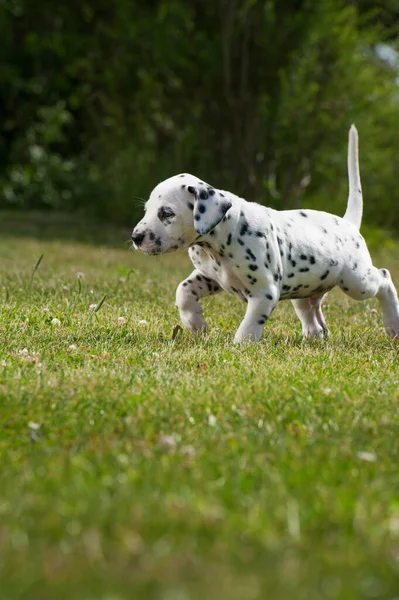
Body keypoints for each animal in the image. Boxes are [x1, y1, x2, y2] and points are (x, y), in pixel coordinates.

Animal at [133, 126, 399, 342]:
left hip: (357, 281)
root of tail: (347, 223)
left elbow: (248, 328)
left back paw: (392, 325)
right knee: (312, 318)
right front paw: (195, 323)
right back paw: (313, 337)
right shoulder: (210, 277)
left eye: (167, 213)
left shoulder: (264, 293)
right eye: (147, 210)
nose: (136, 237)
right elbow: (183, 291)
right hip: (304, 293)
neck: (222, 239)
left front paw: (240, 347)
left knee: (384, 278)